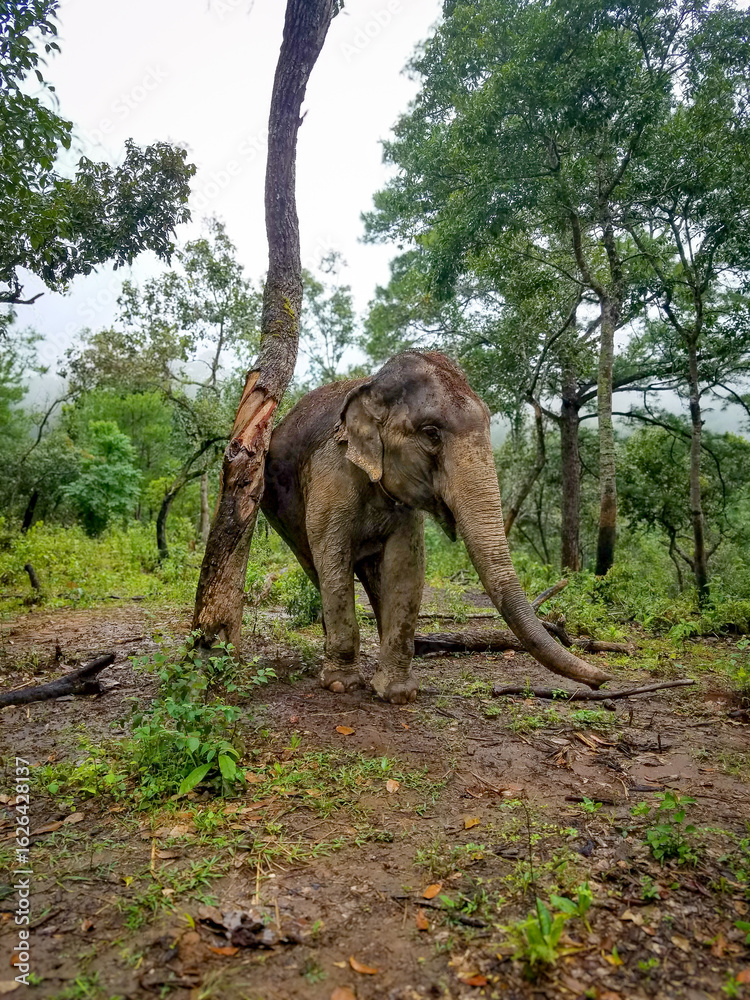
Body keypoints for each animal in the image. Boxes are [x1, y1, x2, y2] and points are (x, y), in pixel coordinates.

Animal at [260, 350, 611, 703]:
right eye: (431, 433)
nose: (603, 680)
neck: (372, 387)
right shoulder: (330, 475)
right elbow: (333, 561)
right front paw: (341, 685)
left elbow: (406, 566)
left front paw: (399, 694)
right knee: (315, 566)